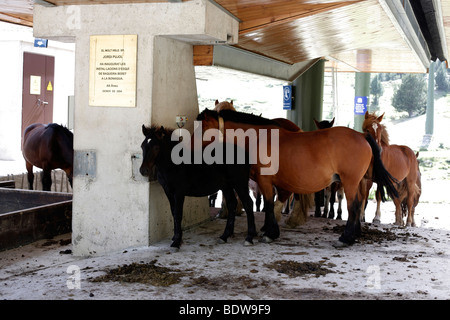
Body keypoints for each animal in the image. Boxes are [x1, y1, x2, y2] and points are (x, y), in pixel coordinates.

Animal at [197, 109, 398, 246]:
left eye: (203, 128)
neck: (258, 139)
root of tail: (362, 136)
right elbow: (273, 204)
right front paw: (270, 231)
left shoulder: (265, 181)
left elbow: (269, 204)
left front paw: (269, 233)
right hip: (356, 182)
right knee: (358, 204)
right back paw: (354, 235)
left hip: (349, 182)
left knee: (354, 206)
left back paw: (345, 238)